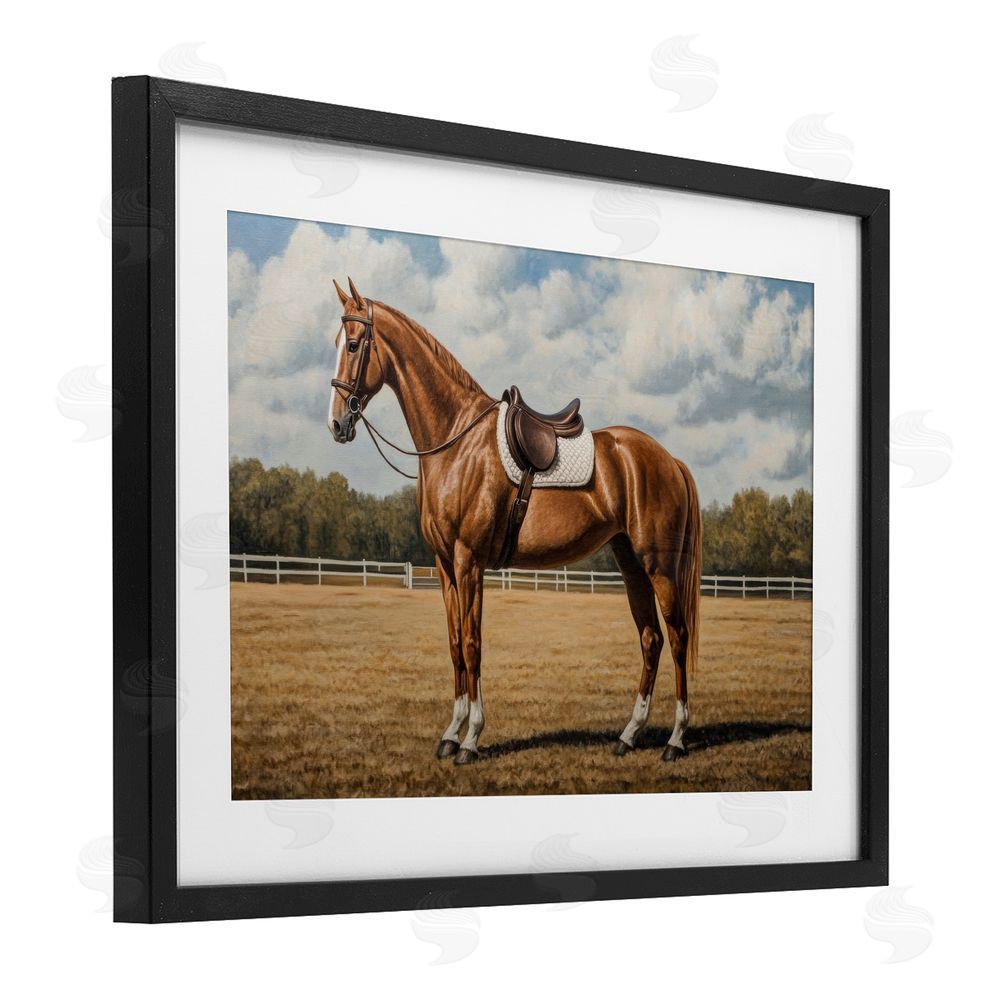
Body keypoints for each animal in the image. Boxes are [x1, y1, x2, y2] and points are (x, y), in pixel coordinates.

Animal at [327, 277, 702, 766]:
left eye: (353, 344)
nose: (337, 424)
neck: (456, 441)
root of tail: (669, 459)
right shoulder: (444, 564)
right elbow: (455, 645)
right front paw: (450, 733)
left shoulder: (468, 561)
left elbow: (473, 643)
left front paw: (470, 739)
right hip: (630, 562)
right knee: (651, 639)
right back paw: (628, 735)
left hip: (658, 563)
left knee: (676, 637)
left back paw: (674, 740)